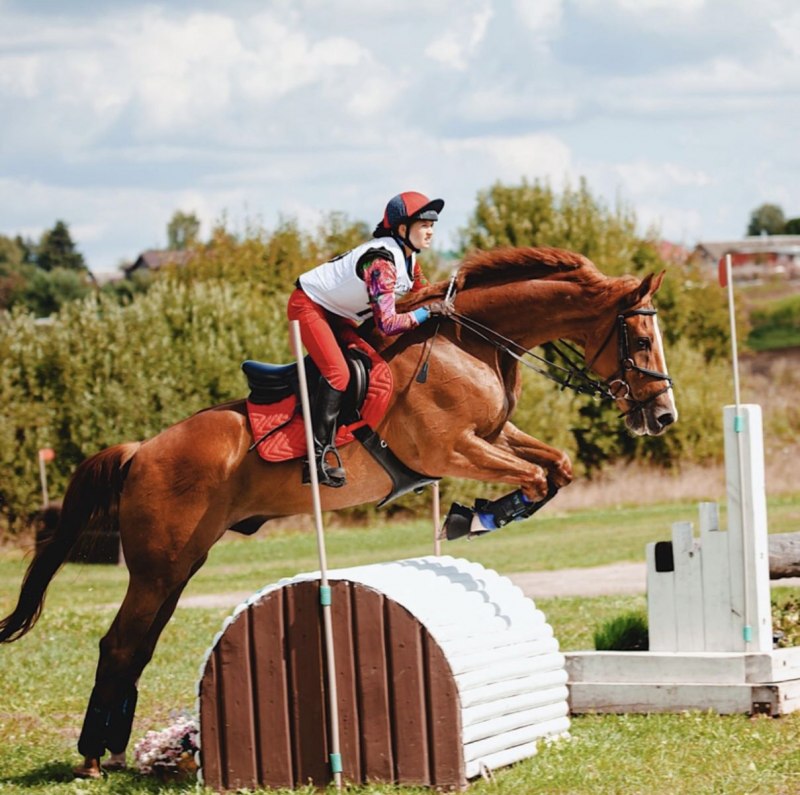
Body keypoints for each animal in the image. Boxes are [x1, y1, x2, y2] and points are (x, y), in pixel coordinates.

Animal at [0, 244, 676, 776]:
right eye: (642, 341)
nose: (663, 416)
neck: (469, 342)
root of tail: (141, 450)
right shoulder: (451, 448)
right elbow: (536, 476)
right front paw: (476, 517)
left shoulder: (492, 436)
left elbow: (556, 466)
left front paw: (478, 515)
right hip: (159, 567)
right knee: (118, 644)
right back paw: (93, 757)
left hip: (179, 566)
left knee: (136, 645)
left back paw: (116, 753)